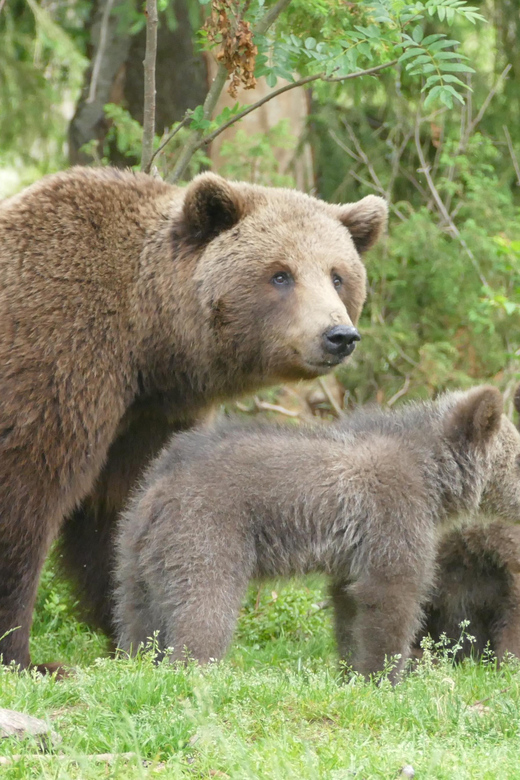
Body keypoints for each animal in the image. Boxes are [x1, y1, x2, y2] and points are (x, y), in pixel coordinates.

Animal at [0, 166, 386, 672]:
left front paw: (137, 637)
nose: (338, 335)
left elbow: (121, 511)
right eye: (280, 274)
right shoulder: (55, 356)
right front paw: (28, 659)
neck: (147, 341)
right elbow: (27, 497)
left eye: (338, 276)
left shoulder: (149, 419)